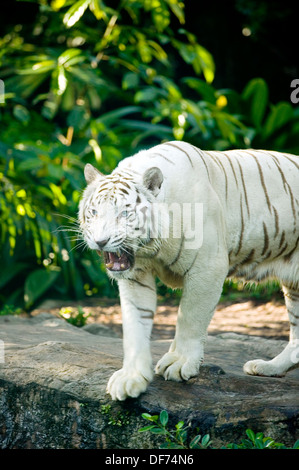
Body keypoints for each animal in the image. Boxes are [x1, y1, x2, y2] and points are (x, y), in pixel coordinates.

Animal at [78, 140, 298, 400]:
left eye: (125, 213)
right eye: (94, 212)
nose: (100, 241)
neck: (154, 246)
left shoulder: (207, 267)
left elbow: (190, 318)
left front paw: (180, 363)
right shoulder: (136, 275)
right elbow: (135, 325)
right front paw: (131, 378)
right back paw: (268, 367)